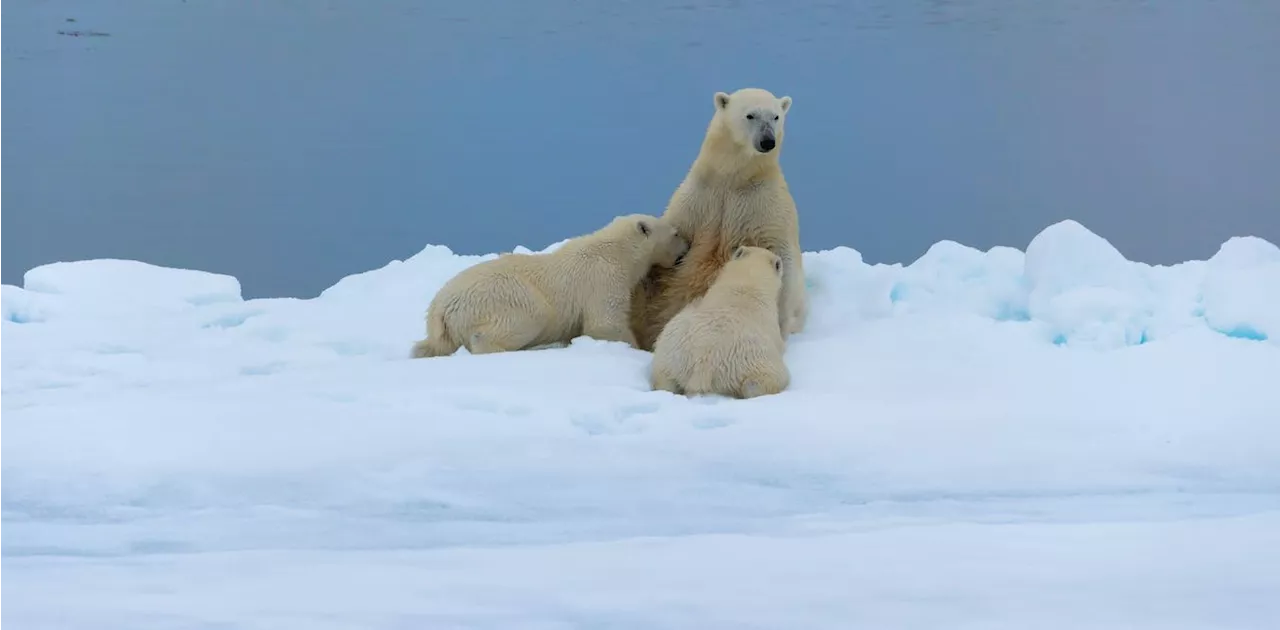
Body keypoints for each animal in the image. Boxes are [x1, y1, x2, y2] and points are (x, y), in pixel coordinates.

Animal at [409, 212, 691, 355]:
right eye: (676, 233)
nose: (688, 245)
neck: (617, 251)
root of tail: (439, 308)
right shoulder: (604, 279)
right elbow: (605, 323)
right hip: (499, 296)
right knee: (531, 314)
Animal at [632, 86, 808, 350]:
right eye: (750, 115)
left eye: (776, 116)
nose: (767, 141)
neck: (733, 177)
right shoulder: (698, 198)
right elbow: (674, 237)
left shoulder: (764, 202)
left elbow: (780, 251)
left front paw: (779, 324)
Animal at [650, 245, 788, 399]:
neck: (746, 283)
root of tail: (703, 365)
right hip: (751, 363)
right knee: (761, 382)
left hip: (670, 352)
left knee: (664, 379)